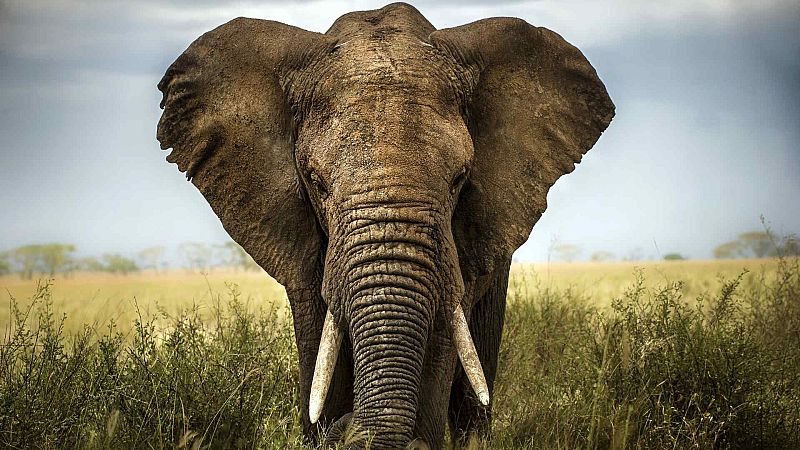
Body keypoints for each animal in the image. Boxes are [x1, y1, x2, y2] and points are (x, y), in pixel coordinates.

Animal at [156, 3, 613, 448]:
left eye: (460, 178)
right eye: (316, 181)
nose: (346, 426)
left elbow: (442, 337)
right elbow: (319, 341)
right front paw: (324, 425)